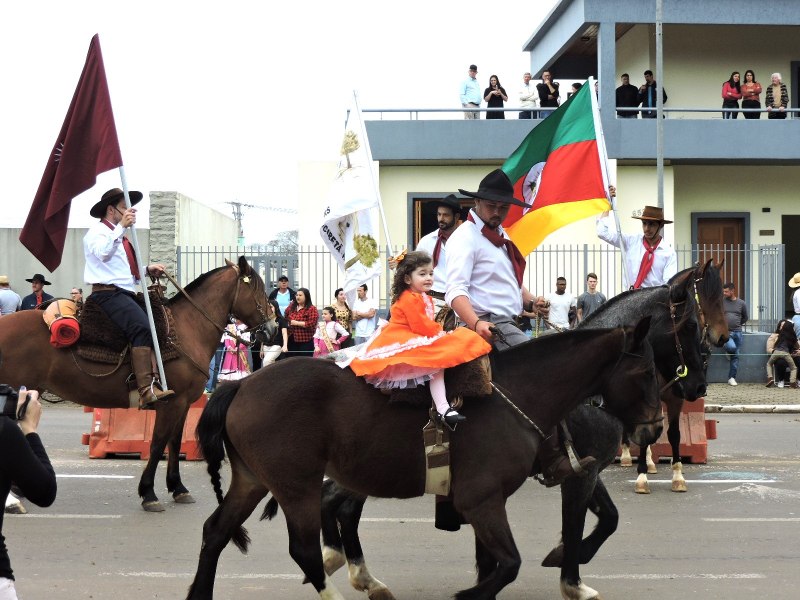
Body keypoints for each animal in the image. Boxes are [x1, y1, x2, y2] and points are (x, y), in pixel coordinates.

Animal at [0, 255, 272, 512]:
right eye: (256, 287)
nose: (272, 327)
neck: (186, 329)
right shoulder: (171, 403)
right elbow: (158, 443)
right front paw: (148, 493)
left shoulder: (183, 404)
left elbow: (174, 442)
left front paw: (178, 488)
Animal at [189, 318, 664, 600]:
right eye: (645, 372)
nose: (654, 430)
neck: (517, 394)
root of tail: (241, 384)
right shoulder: (482, 500)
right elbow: (510, 563)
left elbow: (503, 562)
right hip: (295, 485)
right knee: (304, 547)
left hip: (253, 481)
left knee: (216, 532)